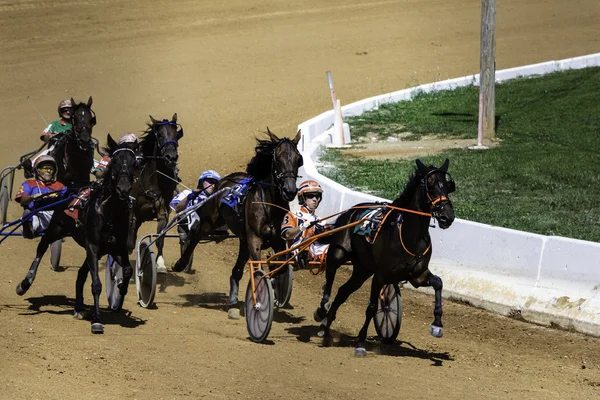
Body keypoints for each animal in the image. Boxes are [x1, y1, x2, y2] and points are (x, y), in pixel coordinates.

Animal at [15, 136, 138, 332]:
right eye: (115, 161)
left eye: (135, 162)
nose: (124, 189)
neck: (109, 212)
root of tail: (67, 191)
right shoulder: (93, 246)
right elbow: (96, 284)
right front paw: (97, 321)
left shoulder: (116, 247)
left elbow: (127, 270)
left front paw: (120, 292)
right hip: (56, 229)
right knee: (41, 248)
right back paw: (25, 283)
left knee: (81, 274)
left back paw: (79, 308)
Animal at [127, 114, 182, 274]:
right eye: (160, 135)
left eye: (176, 134)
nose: (171, 157)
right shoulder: (132, 212)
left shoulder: (163, 212)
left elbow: (160, 238)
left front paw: (160, 263)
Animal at [173, 128, 304, 318]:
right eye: (277, 158)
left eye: (298, 158)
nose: (289, 190)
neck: (268, 204)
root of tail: (224, 181)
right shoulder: (254, 239)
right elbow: (257, 269)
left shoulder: (278, 241)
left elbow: (279, 268)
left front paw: (275, 291)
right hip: (211, 221)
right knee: (195, 234)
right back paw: (181, 263)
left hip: (242, 239)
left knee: (236, 271)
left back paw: (233, 303)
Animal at [314, 158, 454, 354]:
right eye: (431, 186)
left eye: (447, 186)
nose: (447, 217)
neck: (409, 234)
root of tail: (351, 211)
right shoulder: (380, 276)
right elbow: (372, 307)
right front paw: (360, 343)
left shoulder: (417, 275)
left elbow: (438, 283)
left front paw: (437, 325)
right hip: (339, 253)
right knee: (330, 275)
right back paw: (322, 309)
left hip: (362, 270)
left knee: (342, 292)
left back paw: (325, 327)